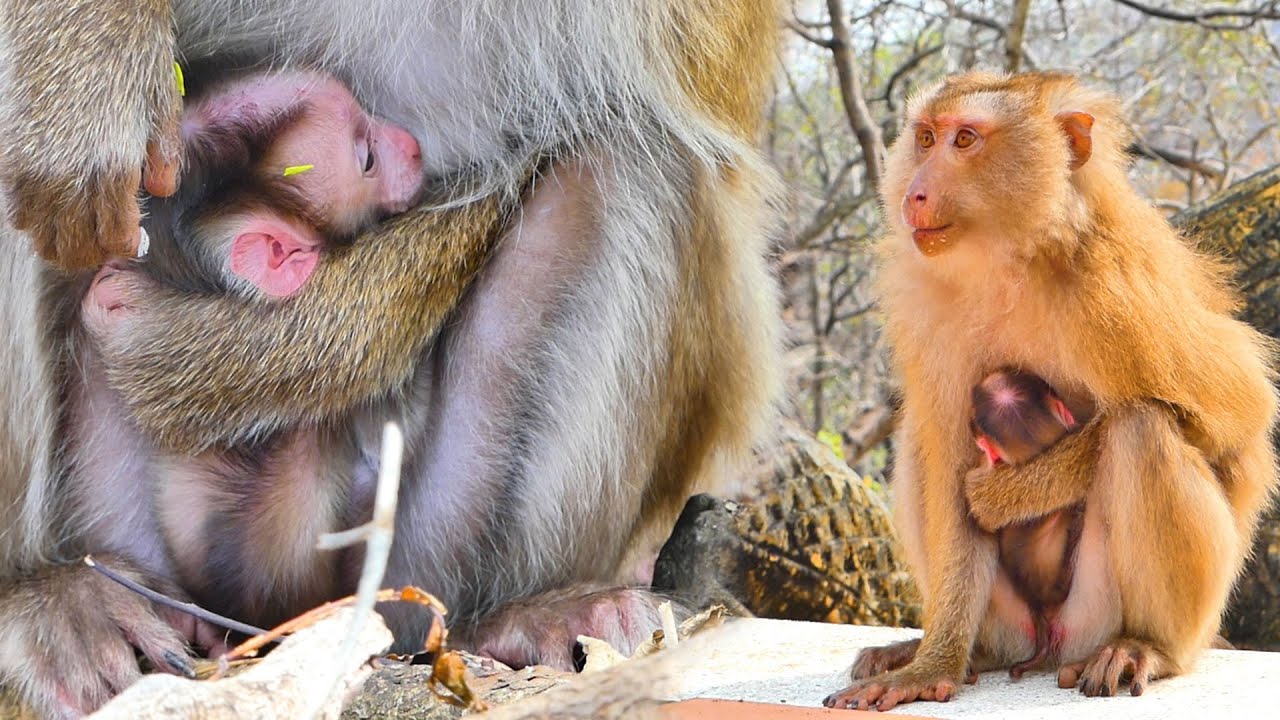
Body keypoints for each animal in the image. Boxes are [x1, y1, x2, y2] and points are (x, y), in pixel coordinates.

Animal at [0, 1, 783, 716]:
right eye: (365, 154)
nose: (407, 145)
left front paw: (209, 358)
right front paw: (88, 65)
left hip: (414, 574)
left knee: (626, 156)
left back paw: (528, 613)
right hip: (133, 549)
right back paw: (55, 597)